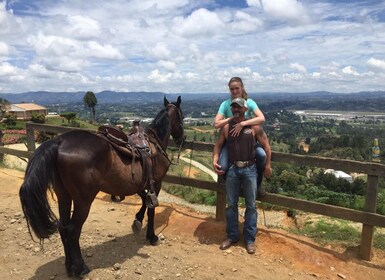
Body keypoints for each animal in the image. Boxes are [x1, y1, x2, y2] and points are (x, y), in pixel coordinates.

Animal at [18, 95, 184, 276]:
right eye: (182, 117)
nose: (181, 139)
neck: (154, 144)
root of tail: (59, 142)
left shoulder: (141, 184)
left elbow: (144, 201)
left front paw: (137, 221)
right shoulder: (157, 183)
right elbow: (152, 208)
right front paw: (151, 236)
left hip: (64, 195)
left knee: (62, 226)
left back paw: (69, 266)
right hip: (83, 200)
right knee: (72, 229)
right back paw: (81, 268)